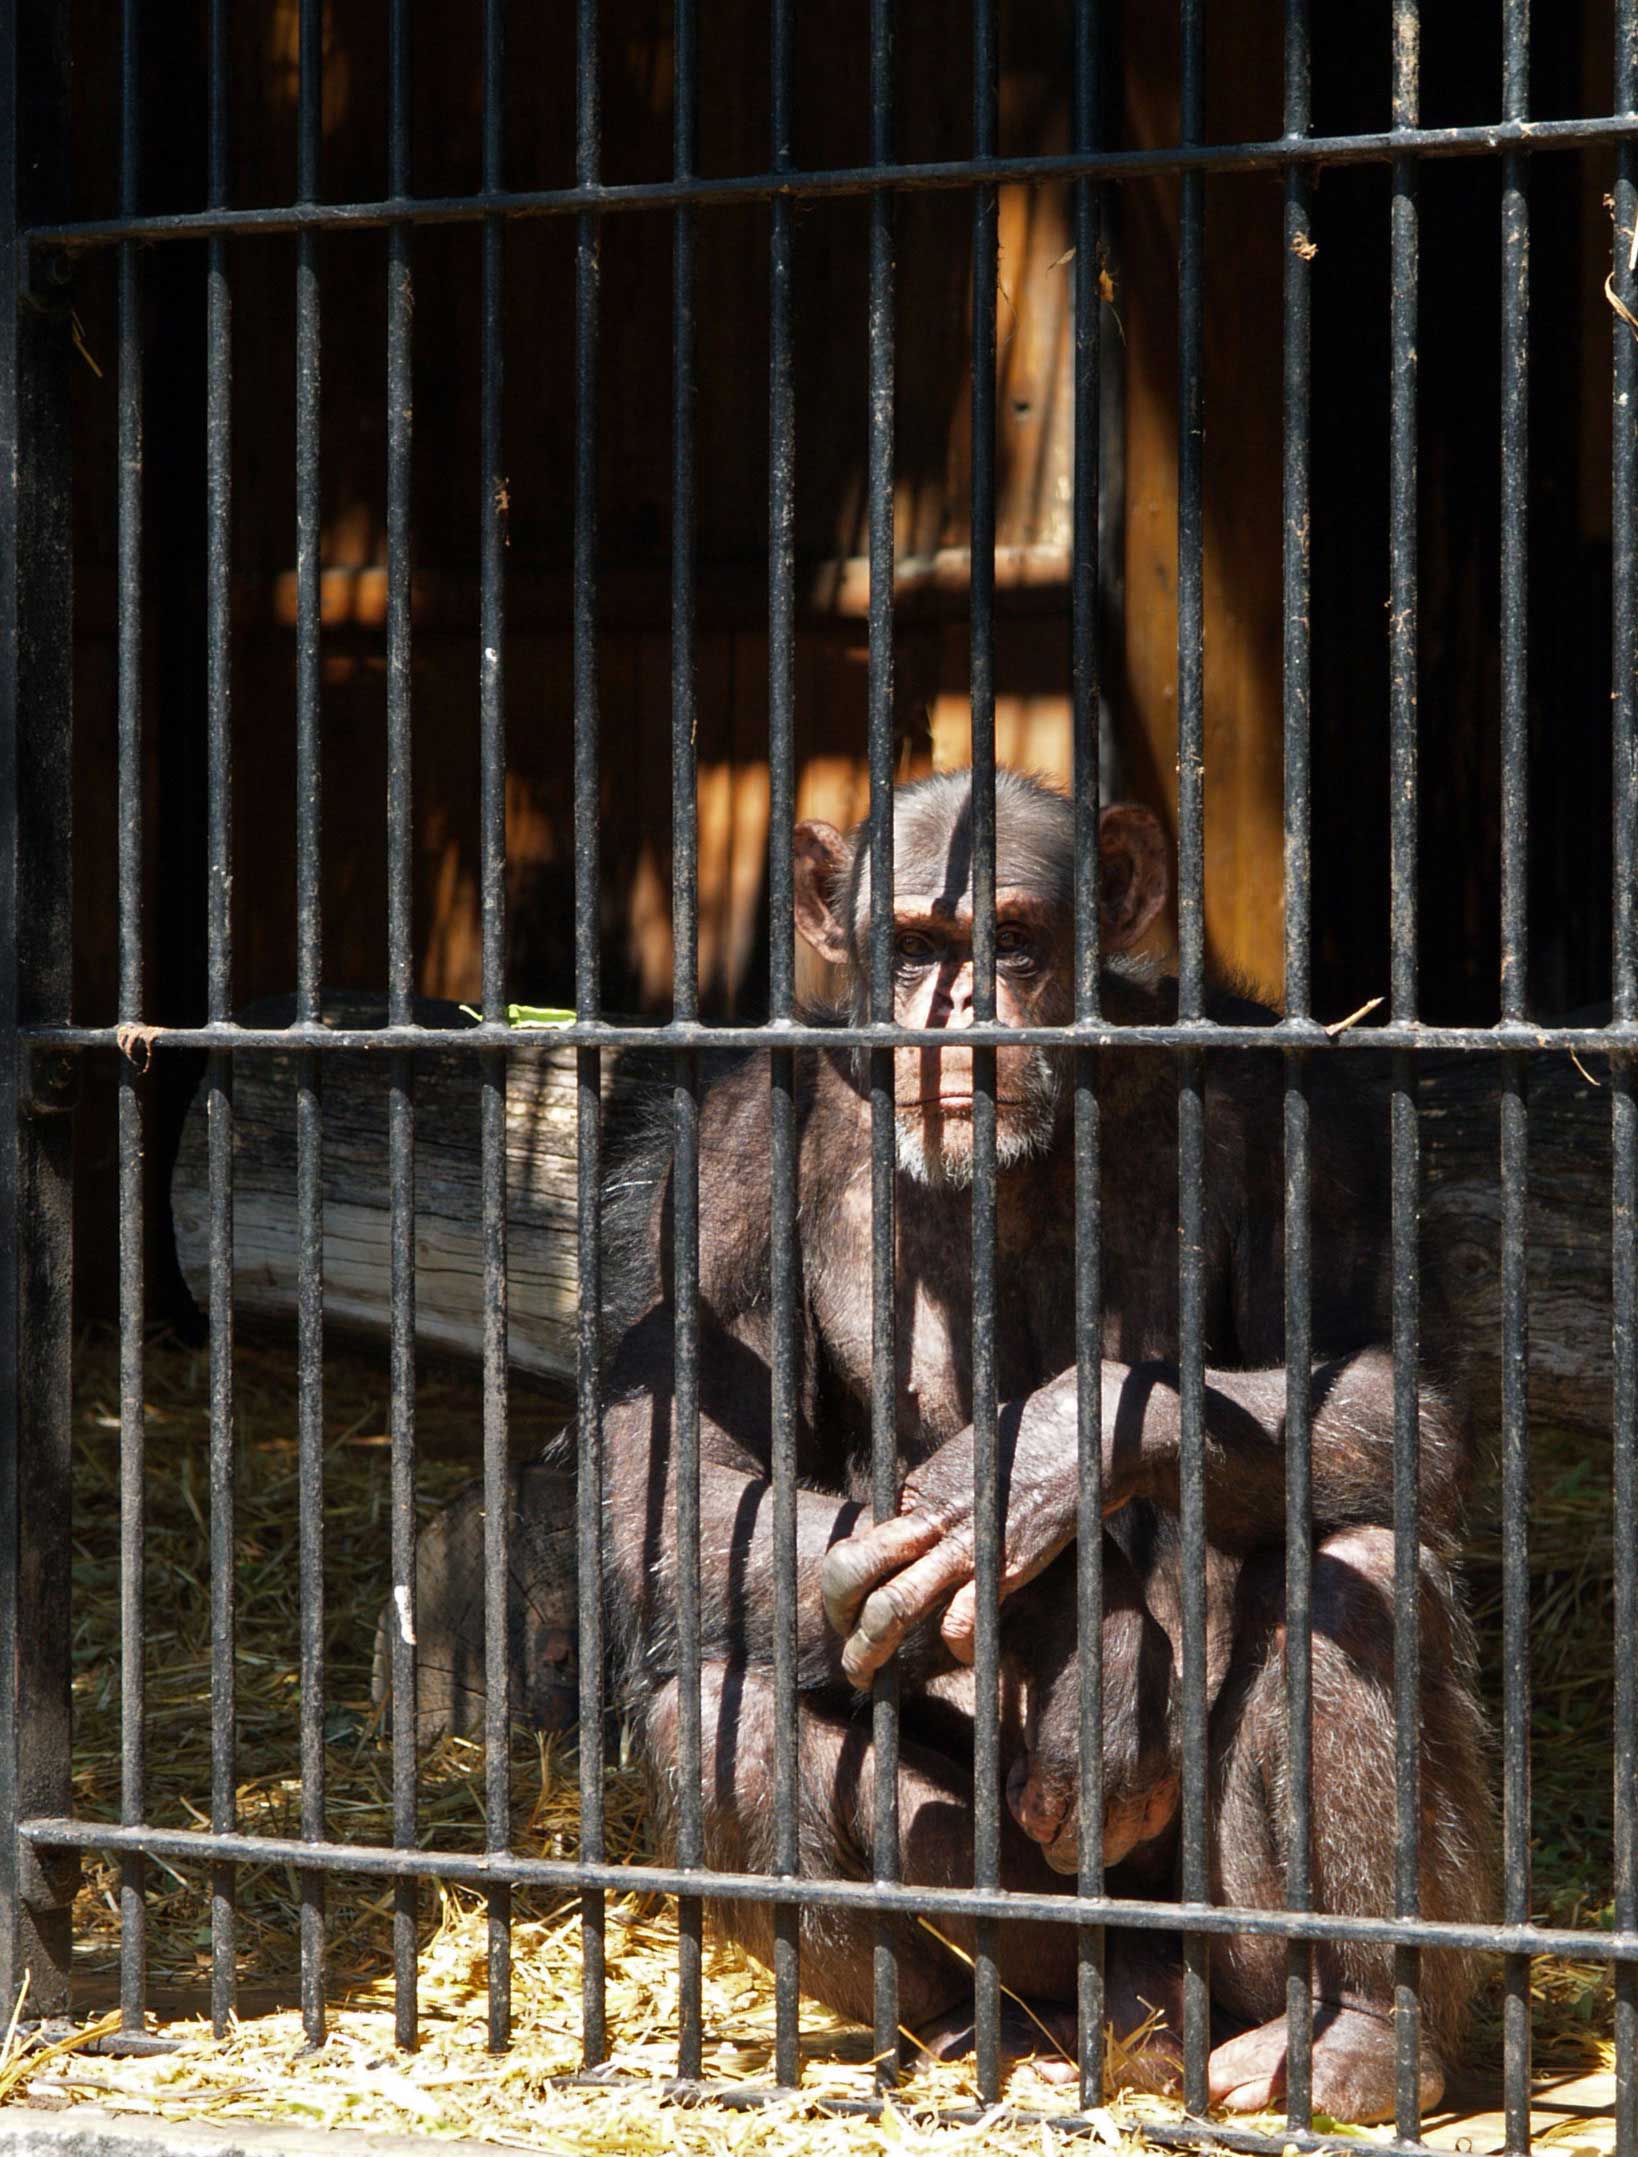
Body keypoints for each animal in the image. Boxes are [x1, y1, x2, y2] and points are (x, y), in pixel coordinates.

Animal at [604, 767, 1502, 2113]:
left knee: (1358, 1574)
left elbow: (1393, 1385)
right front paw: (1063, 1622)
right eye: (916, 949)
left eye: (1016, 943)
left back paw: (1354, 2036)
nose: (961, 1010)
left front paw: (1032, 1468)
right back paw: (974, 2027)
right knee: (718, 1703)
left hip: (1227, 1947)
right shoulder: (723, 1166)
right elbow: (682, 1486)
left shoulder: (1309, 1129)